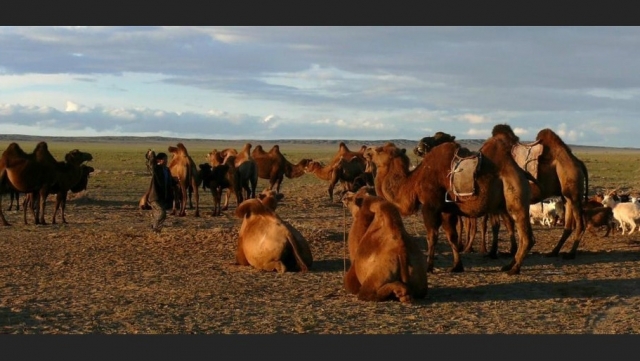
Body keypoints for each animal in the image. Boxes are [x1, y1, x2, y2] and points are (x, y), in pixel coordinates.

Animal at [364, 136, 536, 274]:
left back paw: (514, 269)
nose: (366, 150)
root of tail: (521, 172)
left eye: (379, 150)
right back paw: (508, 265)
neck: (413, 181)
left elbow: (432, 236)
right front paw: (457, 266)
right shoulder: (447, 209)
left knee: (526, 236)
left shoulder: (430, 206)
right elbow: (451, 236)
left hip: (516, 196)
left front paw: (429, 267)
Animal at [490, 124, 592, 258]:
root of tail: (578, 162)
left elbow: (498, 225)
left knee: (580, 224)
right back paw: (554, 252)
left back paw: (570, 254)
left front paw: (494, 252)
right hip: (566, 197)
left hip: (573, 194)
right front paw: (508, 251)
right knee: (568, 226)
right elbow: (507, 224)